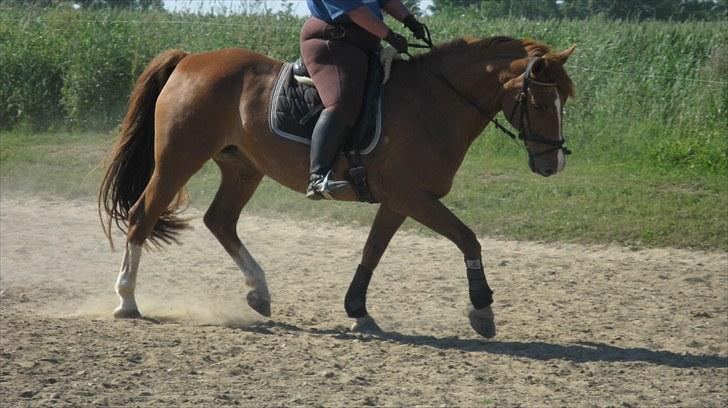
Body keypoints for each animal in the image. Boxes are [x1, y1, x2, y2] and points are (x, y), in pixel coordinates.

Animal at [98, 36, 576, 338]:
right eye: (538, 102)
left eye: (563, 101)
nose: (553, 164)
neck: (435, 102)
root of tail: (190, 60)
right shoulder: (412, 196)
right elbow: (467, 238)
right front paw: (482, 308)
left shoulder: (399, 200)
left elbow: (372, 250)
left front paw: (358, 311)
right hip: (179, 159)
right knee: (143, 216)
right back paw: (126, 301)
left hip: (242, 167)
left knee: (221, 220)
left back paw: (259, 291)